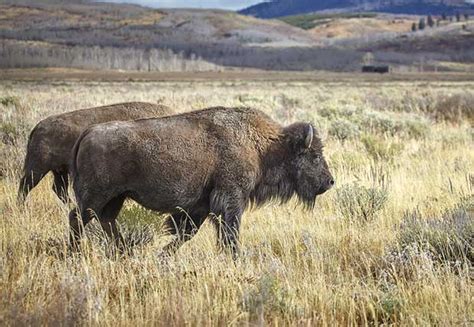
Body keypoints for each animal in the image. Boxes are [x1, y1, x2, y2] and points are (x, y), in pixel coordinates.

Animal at [70, 106, 336, 258]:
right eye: (313, 156)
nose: (330, 181)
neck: (263, 146)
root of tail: (88, 132)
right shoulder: (231, 199)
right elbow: (229, 232)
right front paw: (234, 258)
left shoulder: (201, 206)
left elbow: (187, 233)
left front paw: (162, 256)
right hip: (97, 195)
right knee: (78, 218)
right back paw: (74, 254)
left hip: (116, 197)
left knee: (106, 220)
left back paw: (124, 253)